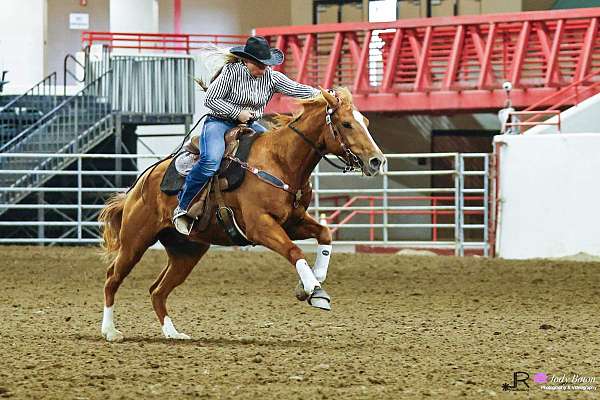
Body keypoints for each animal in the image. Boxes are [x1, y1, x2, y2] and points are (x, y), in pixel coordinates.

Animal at [99, 86, 384, 340]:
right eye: (346, 124)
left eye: (367, 121)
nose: (377, 161)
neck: (281, 161)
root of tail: (138, 186)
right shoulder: (260, 226)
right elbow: (294, 251)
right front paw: (315, 290)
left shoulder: (293, 222)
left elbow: (325, 234)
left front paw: (310, 284)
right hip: (135, 242)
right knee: (112, 278)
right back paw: (110, 331)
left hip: (186, 252)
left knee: (157, 290)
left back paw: (172, 333)